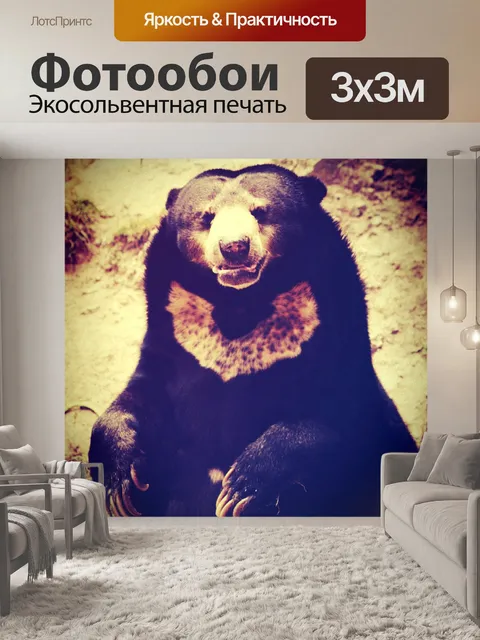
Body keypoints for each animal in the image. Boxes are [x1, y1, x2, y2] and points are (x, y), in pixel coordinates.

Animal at [88, 163, 418, 518]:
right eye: (207, 216)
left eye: (260, 211)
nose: (234, 247)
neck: (239, 304)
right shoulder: (173, 339)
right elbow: (140, 397)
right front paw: (121, 489)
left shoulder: (335, 338)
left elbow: (337, 415)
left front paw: (239, 489)